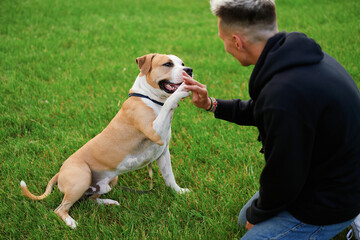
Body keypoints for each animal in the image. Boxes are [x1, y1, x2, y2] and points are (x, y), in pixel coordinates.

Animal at [20, 54, 193, 229]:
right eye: (167, 64)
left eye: (182, 63)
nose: (189, 70)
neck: (149, 99)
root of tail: (60, 172)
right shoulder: (155, 132)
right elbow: (170, 103)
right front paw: (181, 90)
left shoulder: (163, 152)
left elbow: (169, 176)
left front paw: (178, 192)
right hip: (81, 179)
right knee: (60, 209)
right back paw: (71, 222)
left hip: (108, 182)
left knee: (90, 200)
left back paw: (108, 202)